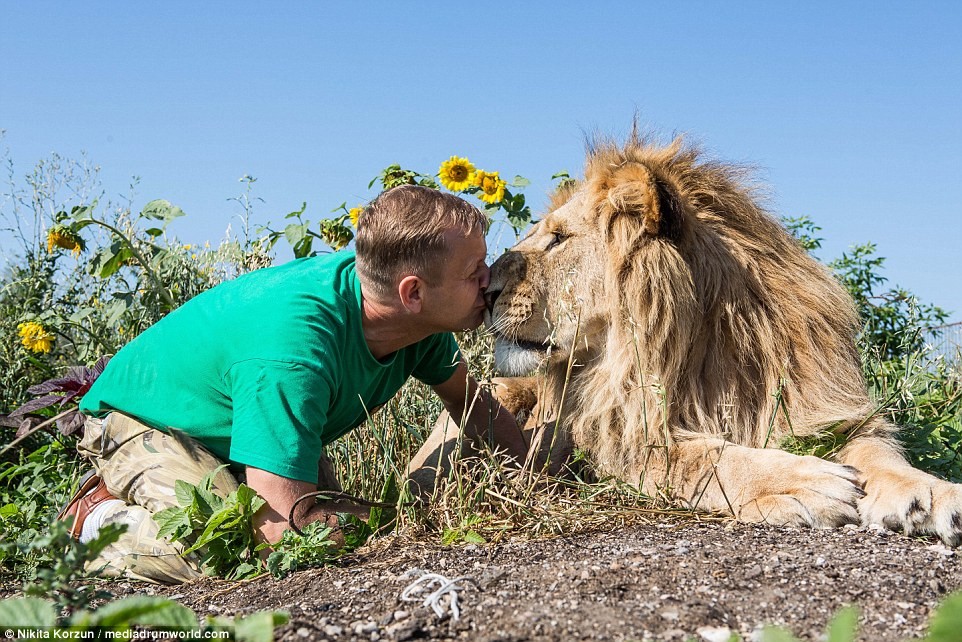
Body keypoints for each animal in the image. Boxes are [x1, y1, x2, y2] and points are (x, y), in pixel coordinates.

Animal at [480, 131, 960, 544]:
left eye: (558, 239)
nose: (486, 289)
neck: (699, 349)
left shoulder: (824, 410)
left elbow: (879, 452)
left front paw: (934, 493)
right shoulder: (611, 441)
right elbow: (707, 457)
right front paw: (804, 482)